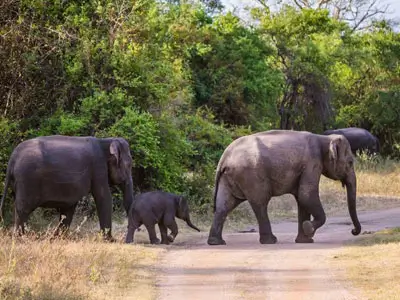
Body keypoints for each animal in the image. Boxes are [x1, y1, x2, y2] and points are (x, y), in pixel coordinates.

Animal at [0, 135, 135, 240]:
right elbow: (103, 197)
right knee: (23, 208)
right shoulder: (98, 167)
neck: (106, 141)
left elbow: (68, 207)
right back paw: (21, 237)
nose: (124, 238)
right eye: (129, 165)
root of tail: (13, 157)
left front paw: (57, 238)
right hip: (27, 178)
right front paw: (110, 240)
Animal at [206, 129, 362, 246]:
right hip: (251, 175)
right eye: (350, 162)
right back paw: (271, 241)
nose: (353, 231)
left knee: (224, 206)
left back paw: (216, 242)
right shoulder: (312, 163)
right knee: (260, 203)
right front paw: (308, 229)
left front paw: (305, 240)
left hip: (229, 178)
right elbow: (306, 195)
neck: (324, 138)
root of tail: (224, 158)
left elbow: (302, 199)